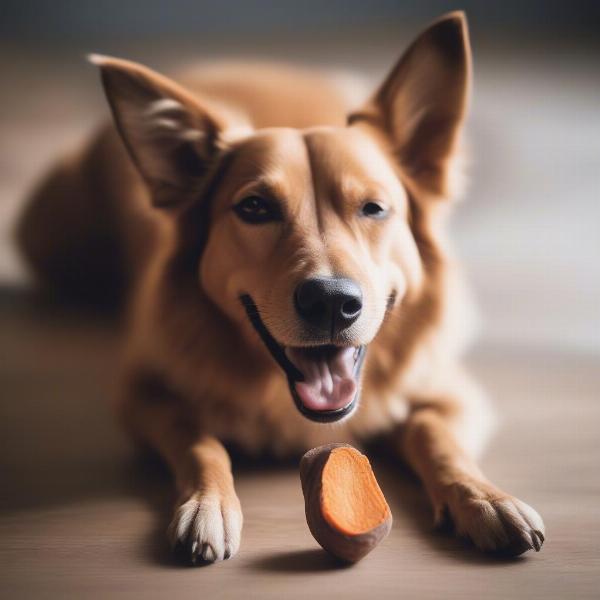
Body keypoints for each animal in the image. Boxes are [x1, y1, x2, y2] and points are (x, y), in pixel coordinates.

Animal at [17, 10, 544, 564]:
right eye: (254, 207)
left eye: (373, 208)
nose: (332, 302)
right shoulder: (142, 391)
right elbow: (199, 440)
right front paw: (207, 504)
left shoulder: (452, 390)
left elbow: (435, 436)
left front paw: (485, 499)